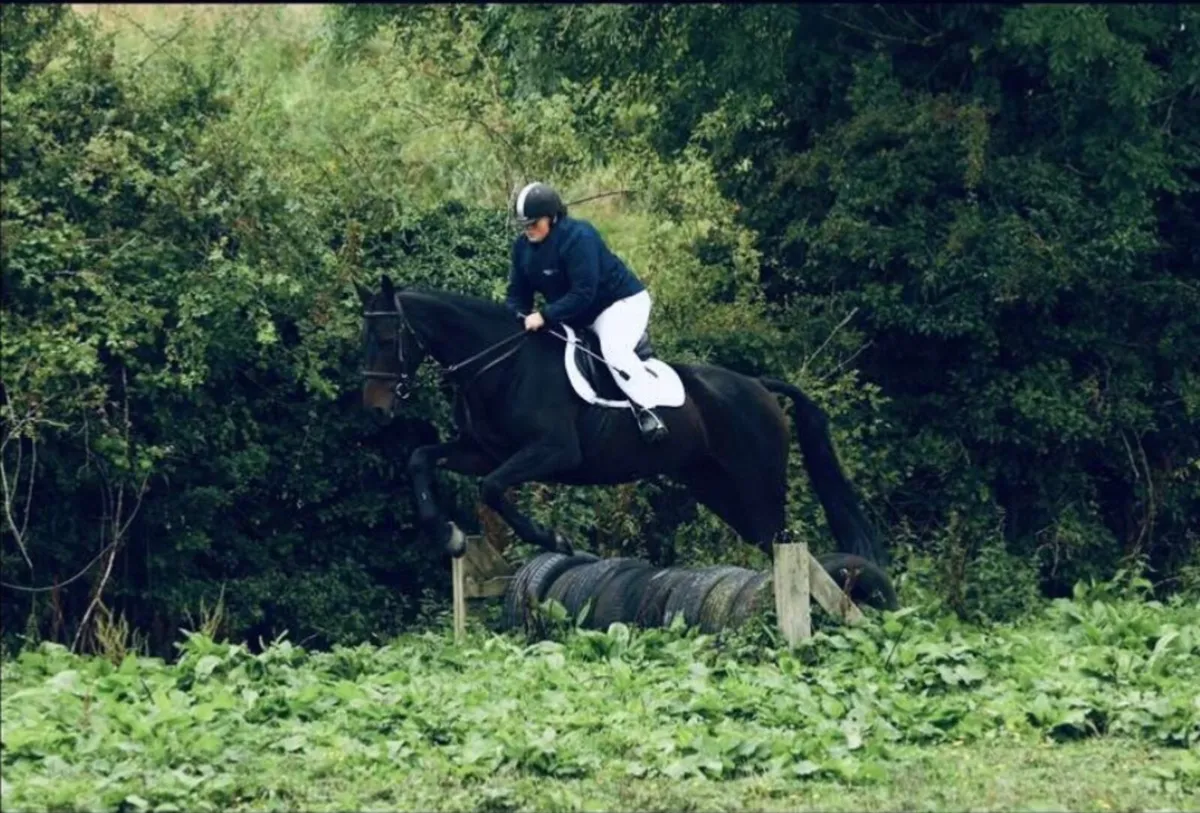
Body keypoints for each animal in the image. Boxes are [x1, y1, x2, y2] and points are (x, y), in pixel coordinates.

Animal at [358, 274, 898, 609]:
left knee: (785, 543)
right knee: (770, 542)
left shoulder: (550, 452)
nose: (376, 409)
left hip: (757, 481)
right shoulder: (482, 451)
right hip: (715, 487)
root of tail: (759, 385)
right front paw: (446, 534)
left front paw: (554, 540)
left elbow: (491, 488)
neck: (502, 364)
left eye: (385, 339)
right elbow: (421, 459)